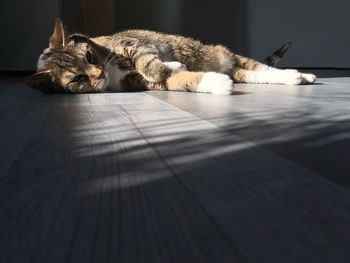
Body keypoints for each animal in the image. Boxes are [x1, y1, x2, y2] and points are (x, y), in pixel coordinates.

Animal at [23, 18, 314, 95]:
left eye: (90, 56)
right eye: (77, 80)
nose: (100, 74)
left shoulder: (130, 46)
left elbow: (148, 60)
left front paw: (167, 65)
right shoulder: (137, 83)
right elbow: (177, 79)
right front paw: (215, 82)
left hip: (224, 55)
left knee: (262, 68)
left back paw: (300, 74)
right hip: (236, 68)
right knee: (250, 74)